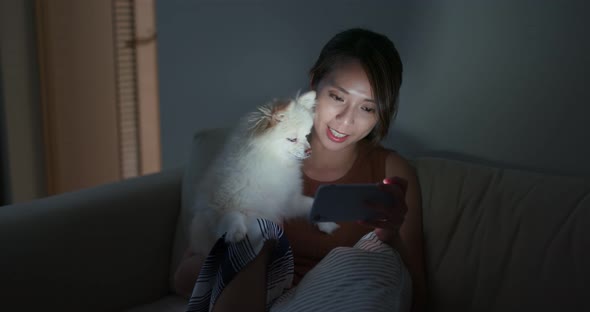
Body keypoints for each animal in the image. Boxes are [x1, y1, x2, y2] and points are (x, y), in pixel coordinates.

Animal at [188, 90, 338, 256]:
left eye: (306, 136)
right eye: (292, 139)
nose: (309, 151)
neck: (274, 161)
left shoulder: (288, 202)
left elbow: (309, 203)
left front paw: (326, 221)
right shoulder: (219, 206)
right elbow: (232, 215)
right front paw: (236, 232)